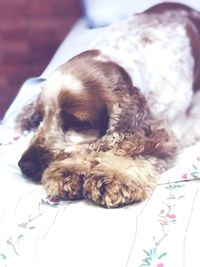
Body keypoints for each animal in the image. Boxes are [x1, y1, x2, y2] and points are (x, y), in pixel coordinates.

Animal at [16, 3, 200, 208]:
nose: (26, 166)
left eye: (77, 123)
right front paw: (70, 171)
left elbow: (139, 149)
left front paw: (113, 175)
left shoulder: (172, 130)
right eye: (40, 118)